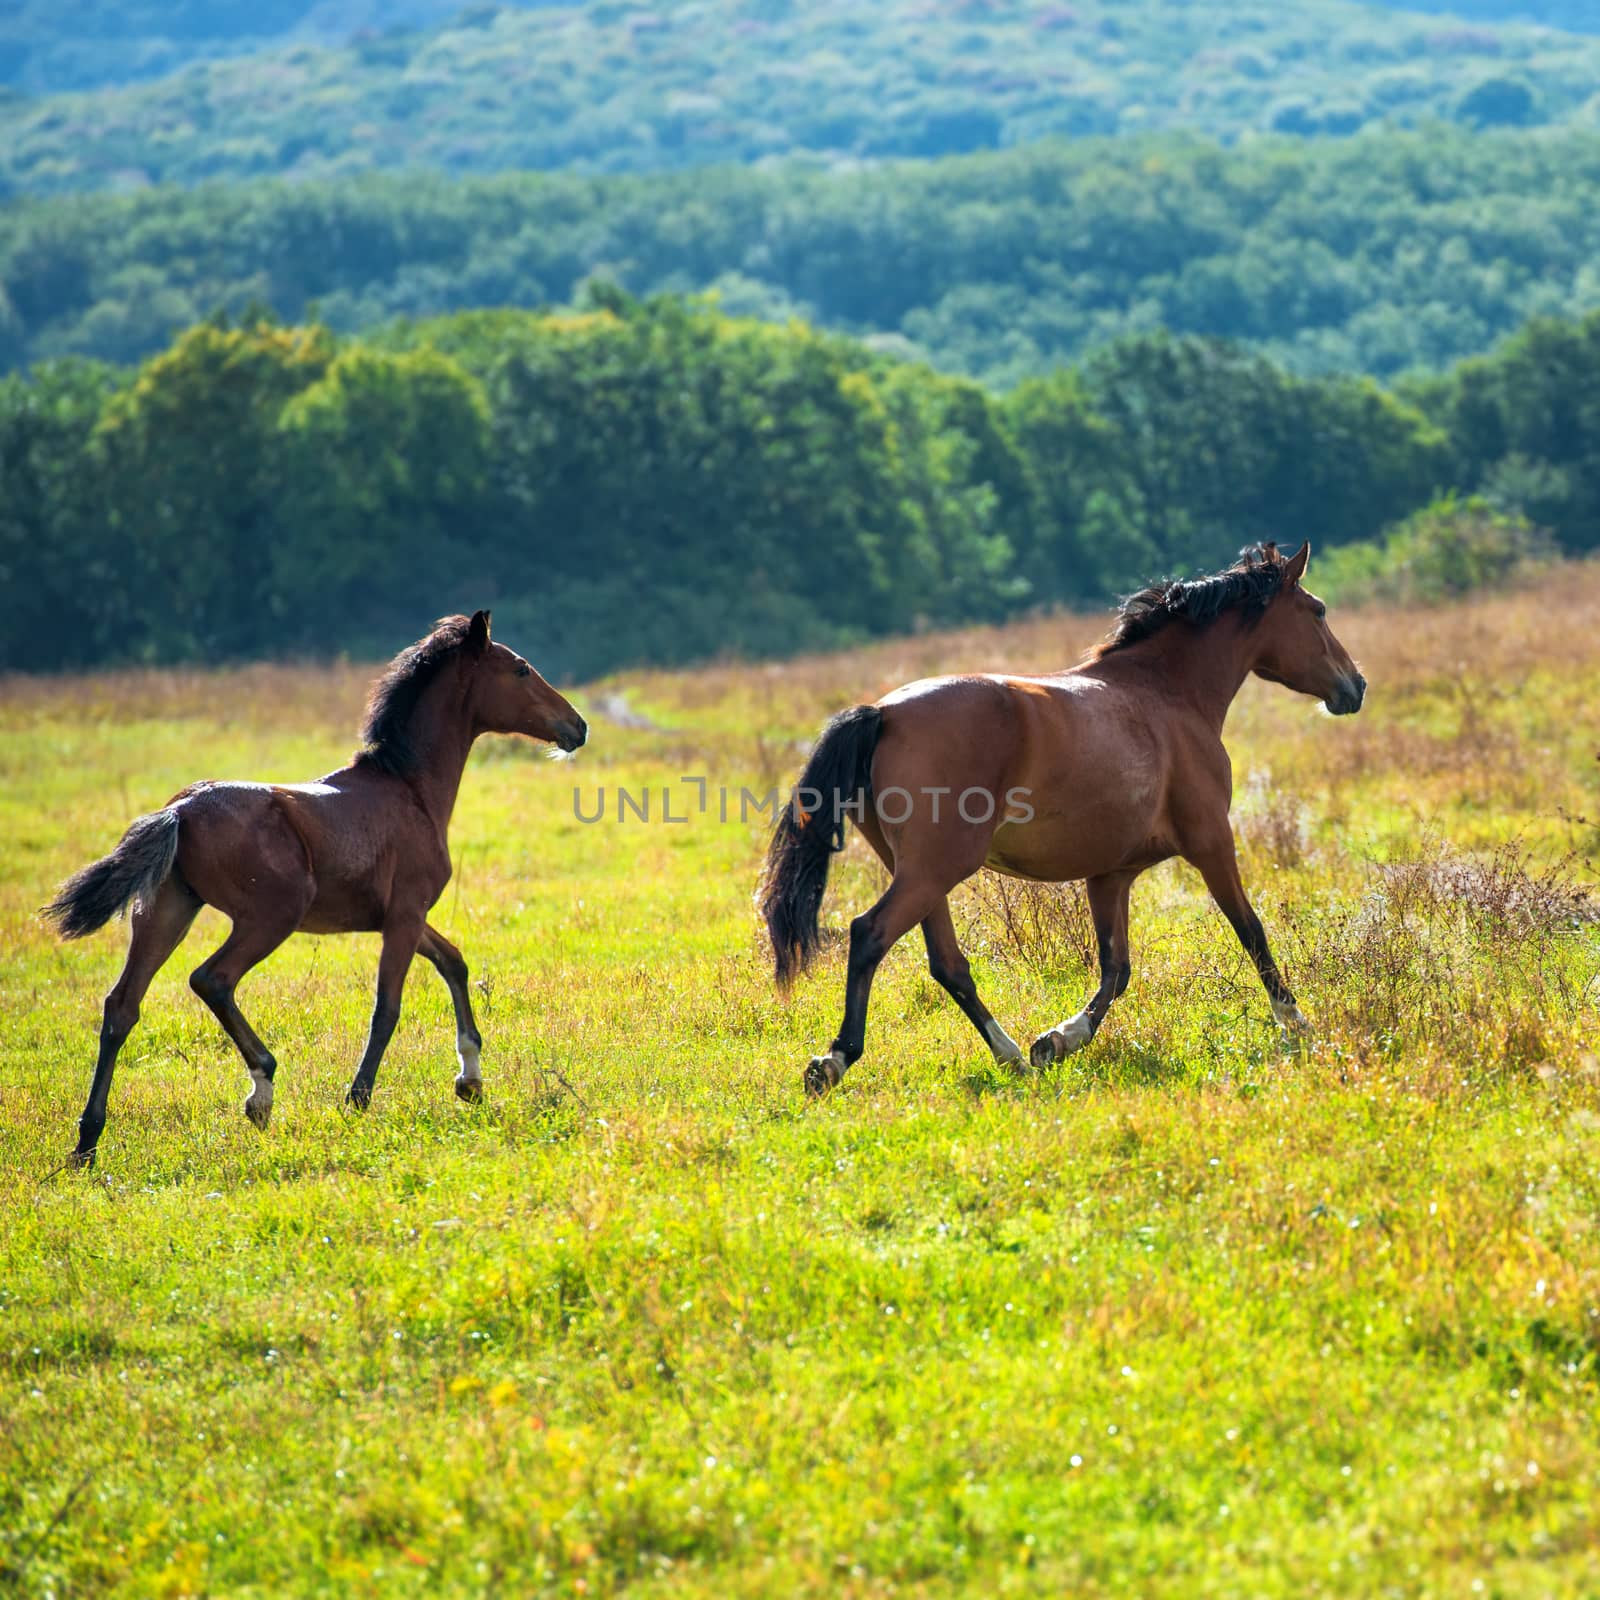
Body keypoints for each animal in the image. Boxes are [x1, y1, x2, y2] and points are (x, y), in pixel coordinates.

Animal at [45, 608, 588, 1164]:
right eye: (520, 669)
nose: (577, 725)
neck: (409, 790)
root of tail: (179, 810)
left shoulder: (399, 917)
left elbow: (454, 962)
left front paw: (471, 1079)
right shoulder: (405, 914)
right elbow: (387, 1007)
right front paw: (358, 1097)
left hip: (167, 910)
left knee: (121, 1007)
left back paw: (87, 1140)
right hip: (272, 914)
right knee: (211, 979)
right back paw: (261, 1089)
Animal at [758, 544, 1363, 1094]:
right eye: (1318, 610)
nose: (1355, 687)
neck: (1167, 696)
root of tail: (882, 713)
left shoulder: (1111, 874)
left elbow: (1116, 969)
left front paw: (1056, 1042)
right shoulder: (1212, 841)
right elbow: (1250, 931)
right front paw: (1297, 1023)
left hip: (918, 871)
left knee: (948, 964)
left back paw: (1011, 1057)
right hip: (935, 869)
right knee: (870, 934)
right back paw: (833, 1061)